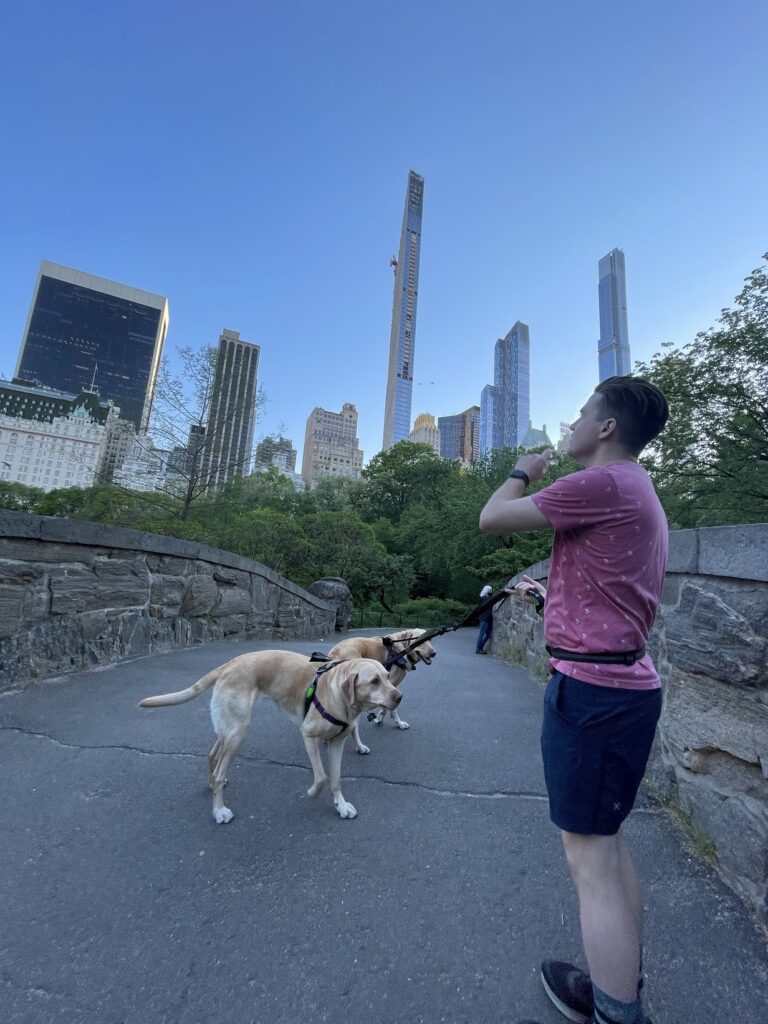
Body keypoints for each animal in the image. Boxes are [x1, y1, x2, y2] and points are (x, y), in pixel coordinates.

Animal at [140, 651, 403, 827]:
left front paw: (341, 805)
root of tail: (229, 664)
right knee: (218, 771)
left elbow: (336, 779)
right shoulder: (308, 735)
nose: (399, 697)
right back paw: (219, 810)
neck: (338, 694)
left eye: (387, 676)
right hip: (238, 731)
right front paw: (312, 793)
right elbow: (321, 777)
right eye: (374, 681)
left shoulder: (337, 743)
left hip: (229, 729)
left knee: (213, 756)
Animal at [327, 622, 438, 753]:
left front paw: (380, 718)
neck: (402, 649)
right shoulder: (390, 685)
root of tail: (334, 653)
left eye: (430, 639)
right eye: (420, 640)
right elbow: (393, 708)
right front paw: (399, 723)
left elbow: (385, 707)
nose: (434, 653)